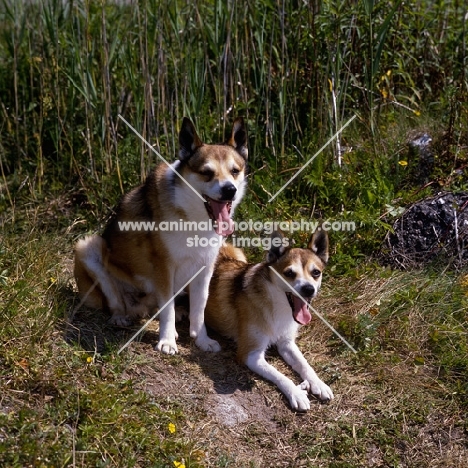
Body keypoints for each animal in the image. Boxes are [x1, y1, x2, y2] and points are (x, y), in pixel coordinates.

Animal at [205, 230, 332, 410]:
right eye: (289, 273)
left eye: (316, 272)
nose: (308, 289)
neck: (276, 305)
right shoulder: (251, 355)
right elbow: (280, 375)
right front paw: (296, 393)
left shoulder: (286, 343)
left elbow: (304, 364)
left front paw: (318, 383)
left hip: (237, 253)